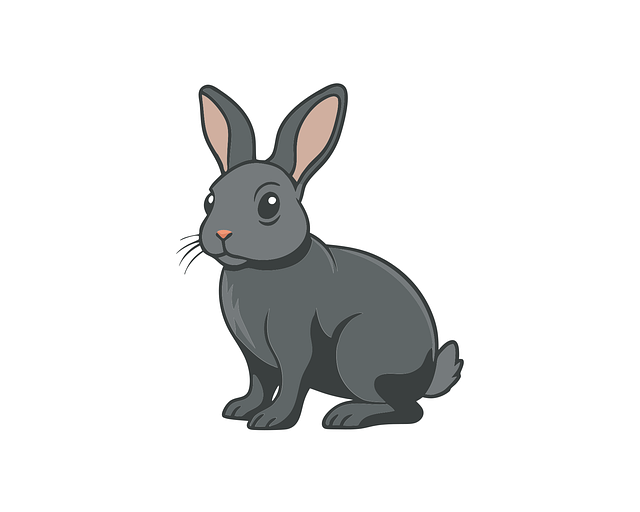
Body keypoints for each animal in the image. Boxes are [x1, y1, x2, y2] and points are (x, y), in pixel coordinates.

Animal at [182, 83, 463, 429]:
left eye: (270, 203)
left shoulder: (294, 342)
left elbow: (291, 382)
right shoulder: (253, 356)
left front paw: (272, 420)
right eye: (210, 200)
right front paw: (240, 408)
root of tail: (427, 377)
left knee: (409, 410)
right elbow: (259, 382)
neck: (263, 270)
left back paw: (346, 415)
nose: (221, 234)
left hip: (356, 351)